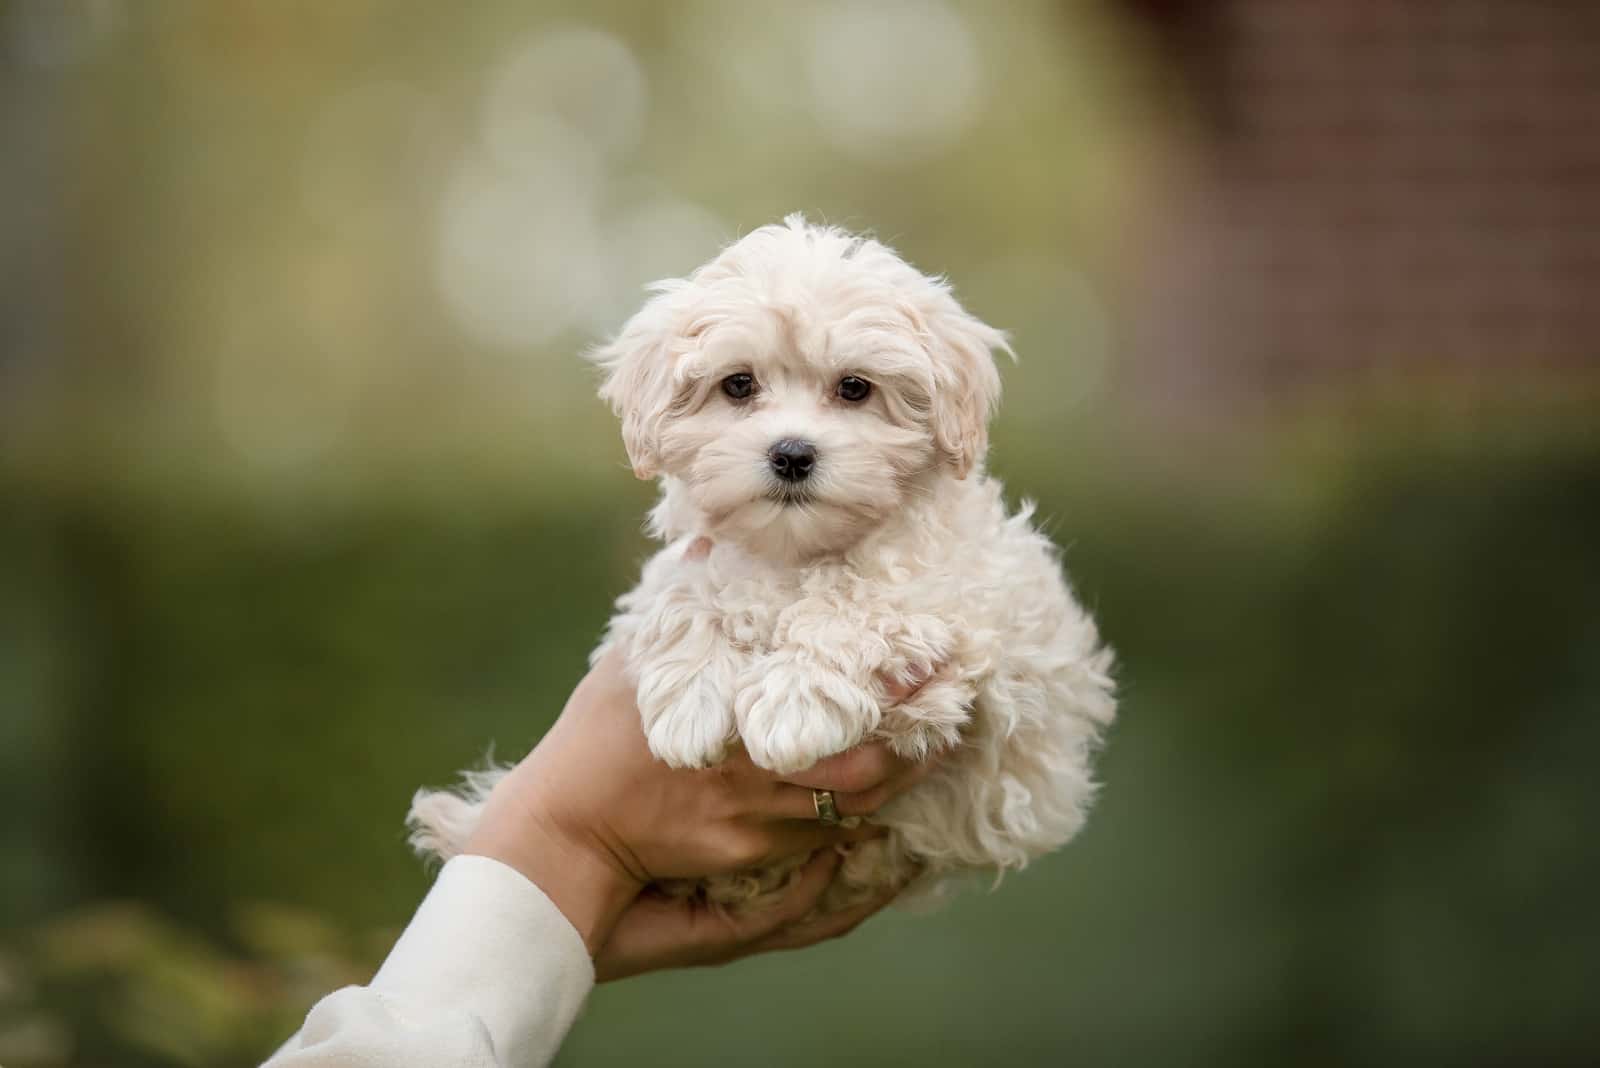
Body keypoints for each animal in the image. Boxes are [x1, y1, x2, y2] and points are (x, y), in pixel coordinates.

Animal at [409, 214, 1113, 908]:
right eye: (738, 384)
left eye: (855, 388)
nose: (792, 454)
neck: (794, 550)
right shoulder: (691, 562)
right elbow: (682, 595)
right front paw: (689, 702)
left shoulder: (965, 599)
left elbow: (858, 602)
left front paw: (792, 704)